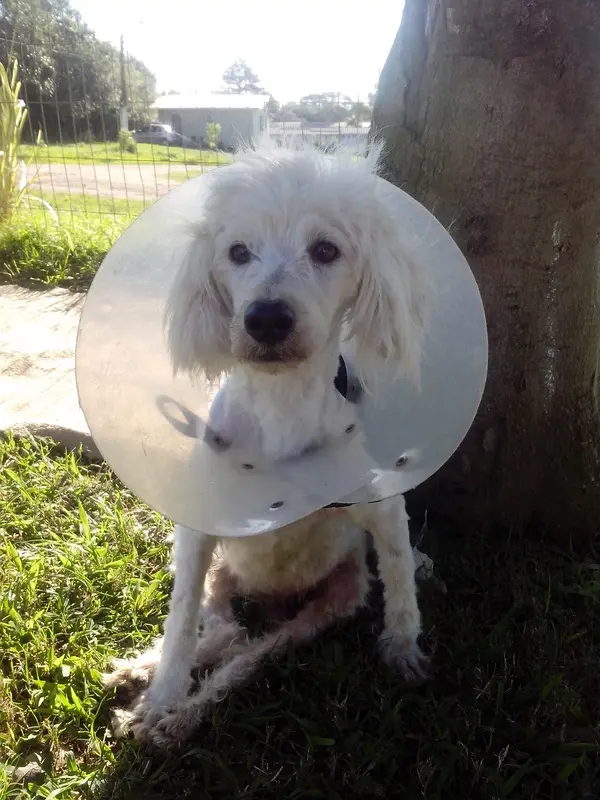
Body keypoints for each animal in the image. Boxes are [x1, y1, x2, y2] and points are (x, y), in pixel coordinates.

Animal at [104, 142, 430, 748]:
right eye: (237, 252)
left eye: (325, 249)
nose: (266, 318)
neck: (282, 405)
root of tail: (274, 600)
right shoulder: (196, 538)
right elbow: (179, 627)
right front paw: (161, 689)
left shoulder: (383, 508)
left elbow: (400, 582)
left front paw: (403, 648)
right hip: (217, 575)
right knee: (220, 632)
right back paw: (148, 682)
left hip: (328, 604)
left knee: (246, 651)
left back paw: (179, 715)